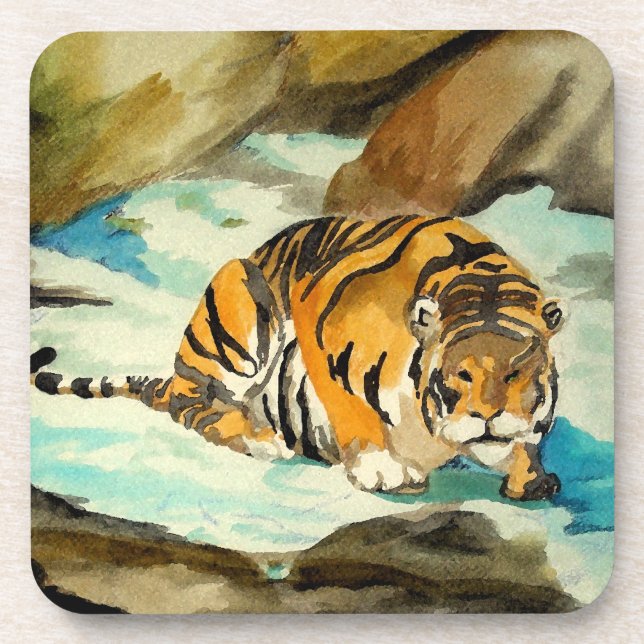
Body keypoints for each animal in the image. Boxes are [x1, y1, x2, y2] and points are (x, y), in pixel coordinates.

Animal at [31, 214, 564, 500]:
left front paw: (531, 476)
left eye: (518, 373)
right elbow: (349, 402)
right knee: (192, 404)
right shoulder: (316, 306)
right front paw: (381, 468)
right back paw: (262, 440)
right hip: (238, 298)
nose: (489, 417)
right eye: (461, 376)